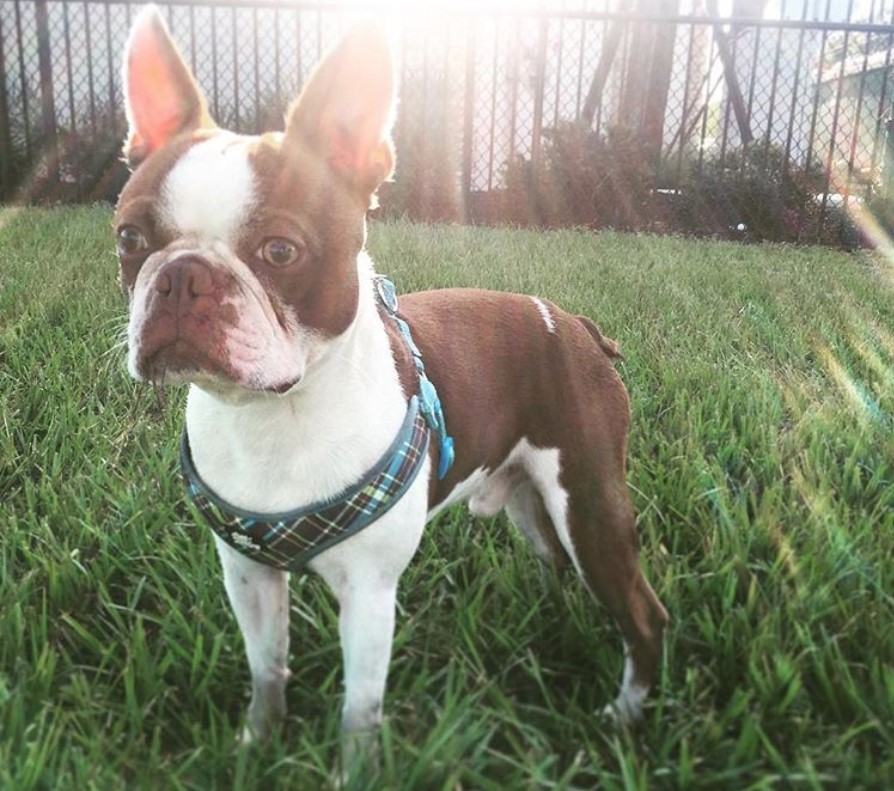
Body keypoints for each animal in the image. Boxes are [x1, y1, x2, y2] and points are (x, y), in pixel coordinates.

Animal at [115, 4, 668, 772]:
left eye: (280, 251)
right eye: (129, 239)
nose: (181, 276)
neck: (275, 415)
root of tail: (576, 324)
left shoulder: (370, 594)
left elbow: (360, 707)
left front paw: (353, 770)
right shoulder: (248, 575)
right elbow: (266, 667)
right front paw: (258, 742)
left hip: (587, 499)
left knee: (643, 612)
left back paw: (623, 716)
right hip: (530, 496)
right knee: (555, 562)